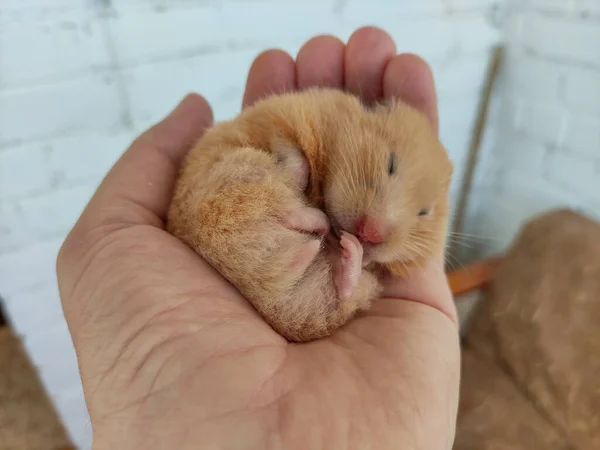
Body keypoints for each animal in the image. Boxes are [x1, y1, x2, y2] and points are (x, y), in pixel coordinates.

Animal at [166, 87, 452, 342]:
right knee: (280, 202)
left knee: (344, 286)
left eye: (424, 212)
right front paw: (301, 176)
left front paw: (360, 249)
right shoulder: (279, 117)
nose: (370, 233)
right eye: (391, 163)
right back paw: (314, 220)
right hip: (234, 172)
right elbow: (292, 150)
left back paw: (341, 243)